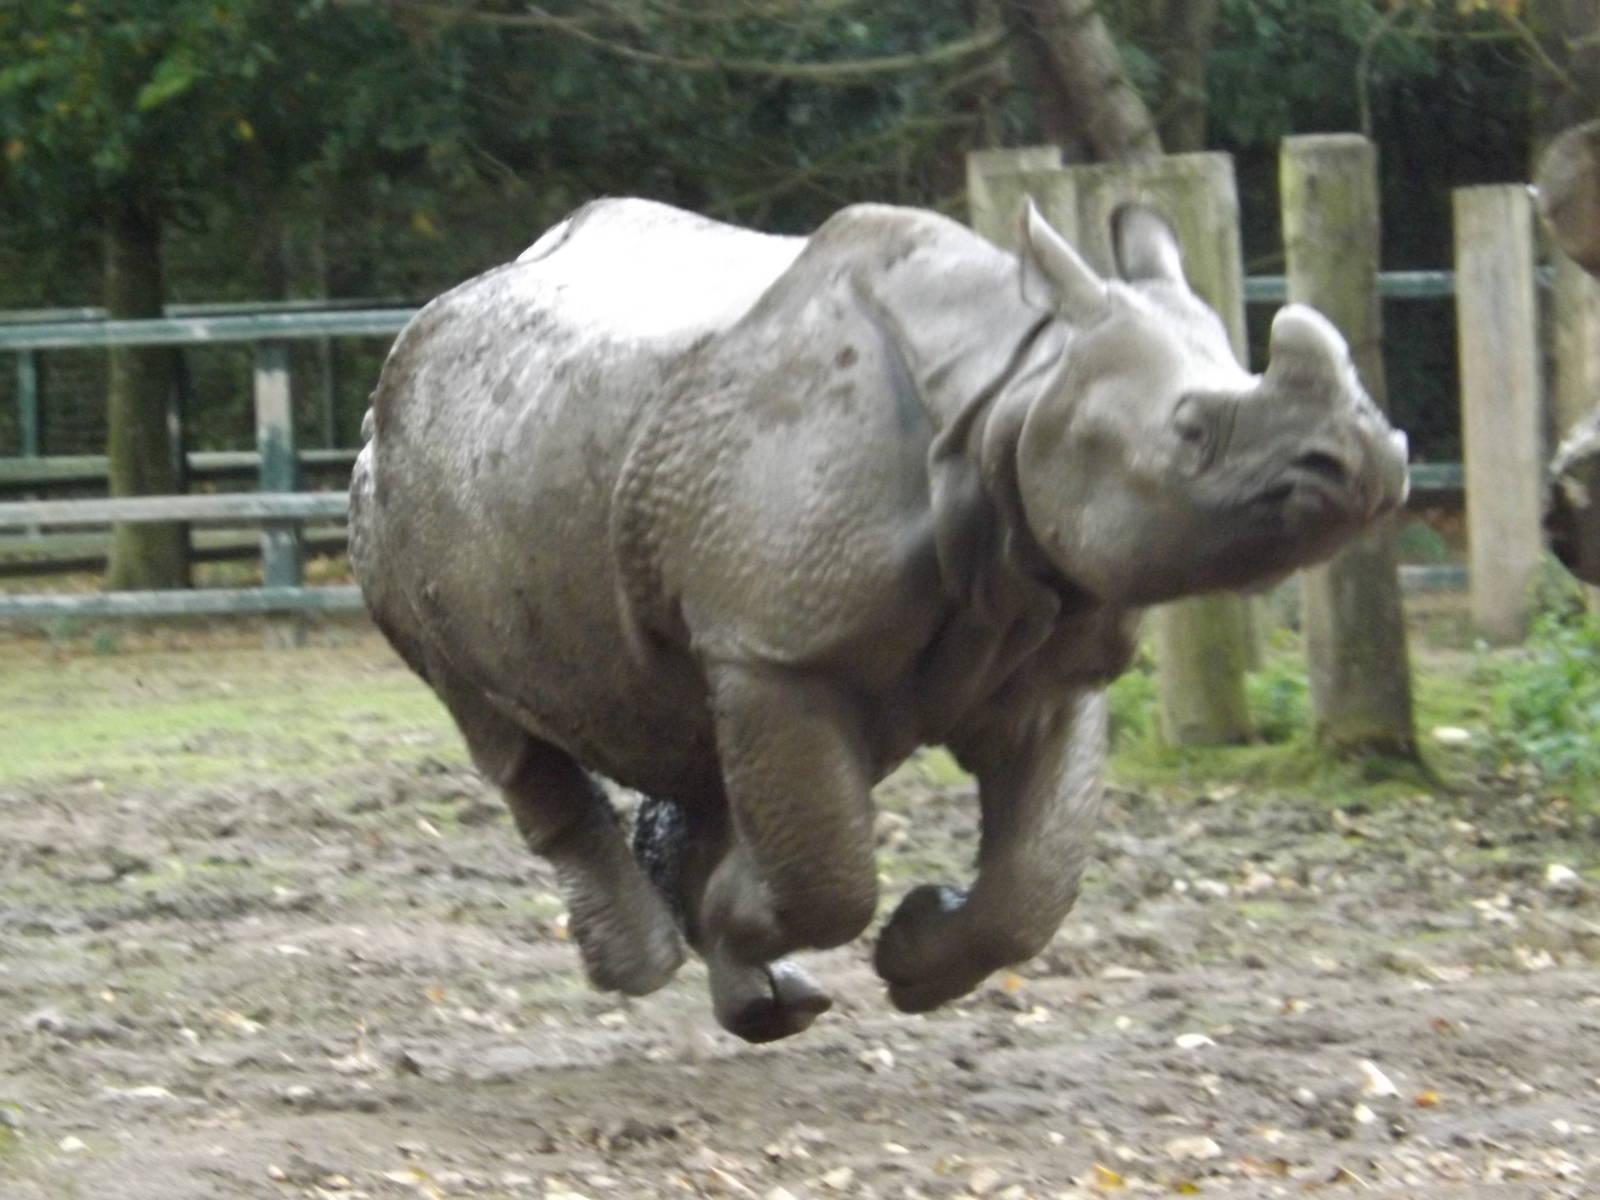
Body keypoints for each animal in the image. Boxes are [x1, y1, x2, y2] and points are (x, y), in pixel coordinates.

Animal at [350, 196, 1409, 1042]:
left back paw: (765, 1002)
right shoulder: (781, 648)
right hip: (396, 475)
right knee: (490, 713)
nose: (1371, 465)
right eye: (1191, 430)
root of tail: (437, 313)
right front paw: (761, 915)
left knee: (691, 726)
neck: (1020, 385)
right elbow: (831, 875)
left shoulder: (1052, 646)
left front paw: (913, 955)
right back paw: (649, 963)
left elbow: (1037, 879)